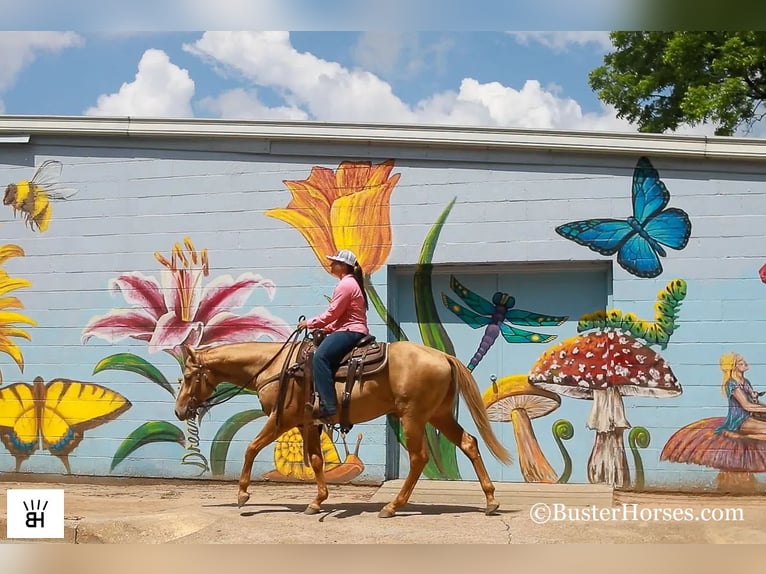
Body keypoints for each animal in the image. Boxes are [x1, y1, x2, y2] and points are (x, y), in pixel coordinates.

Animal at [173, 340, 510, 520]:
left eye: (188, 376)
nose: (178, 411)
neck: (277, 368)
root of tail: (443, 356)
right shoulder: (306, 423)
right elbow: (316, 460)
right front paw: (317, 501)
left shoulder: (281, 419)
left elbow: (251, 447)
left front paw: (243, 494)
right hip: (438, 415)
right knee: (469, 443)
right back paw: (491, 501)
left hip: (413, 416)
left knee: (419, 457)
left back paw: (392, 506)